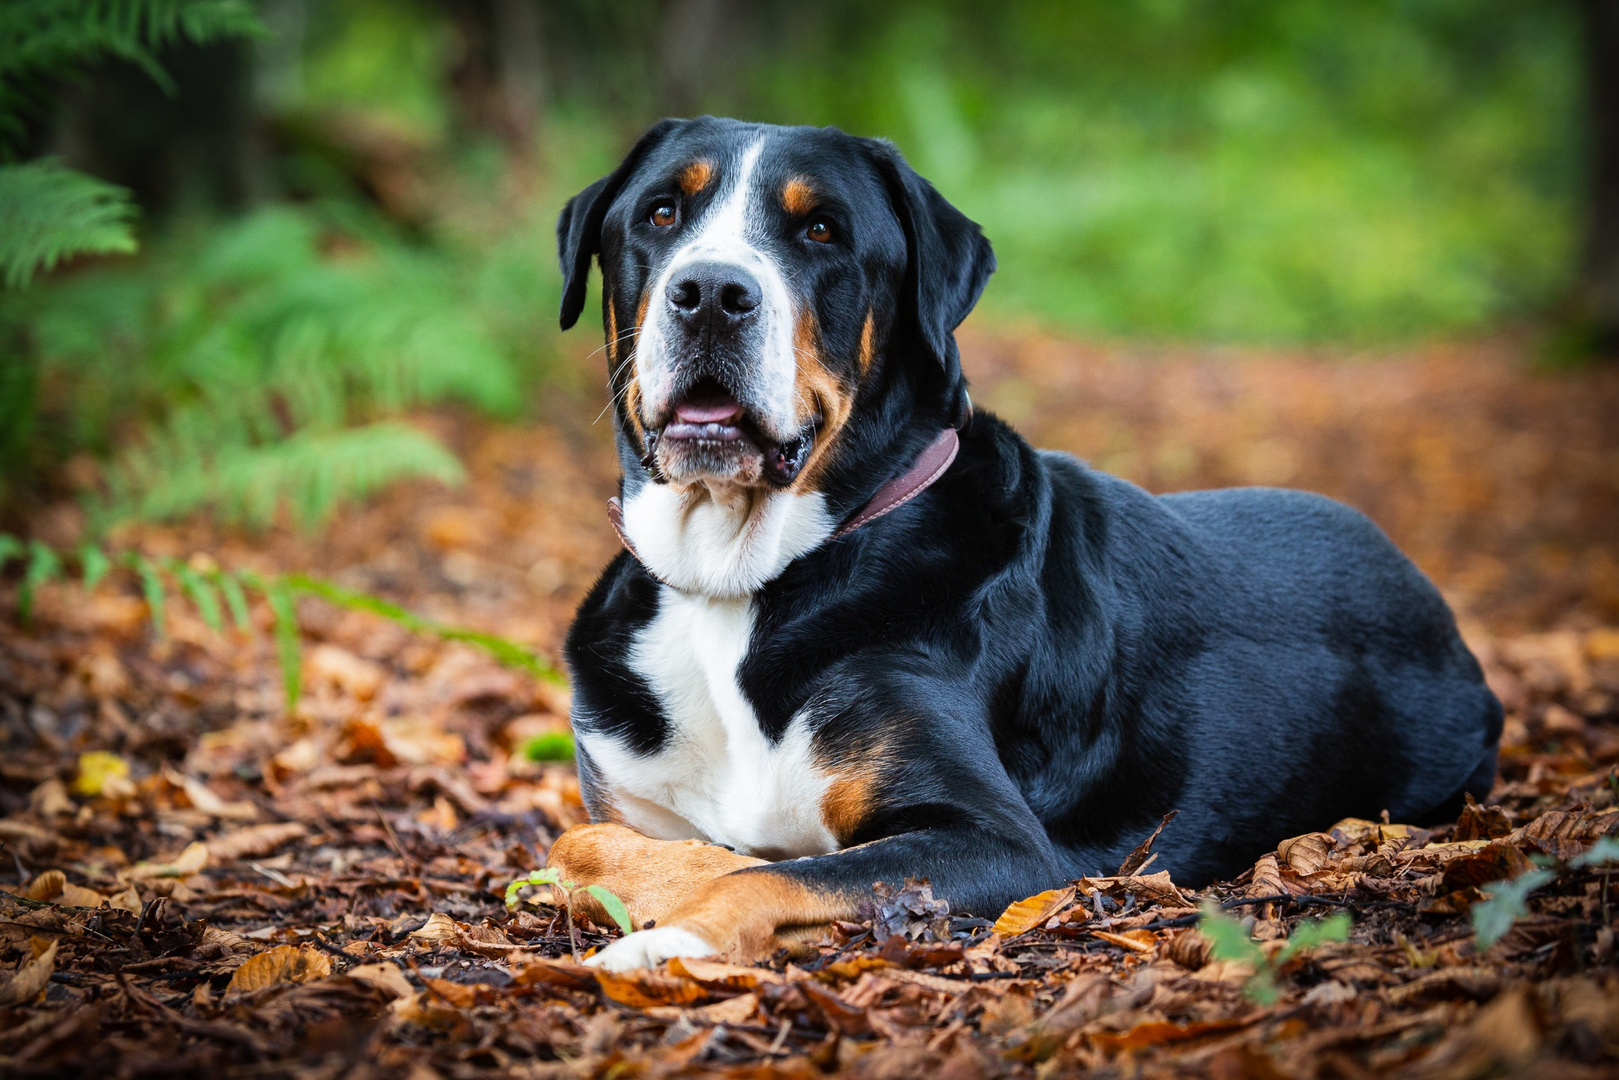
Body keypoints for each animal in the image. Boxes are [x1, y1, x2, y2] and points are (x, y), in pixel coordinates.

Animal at [547, 116, 1502, 971]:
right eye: (661, 214)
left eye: (820, 229)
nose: (710, 291)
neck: (740, 583)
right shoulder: (621, 797)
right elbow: (578, 843)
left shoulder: (997, 841)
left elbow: (771, 874)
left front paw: (672, 939)